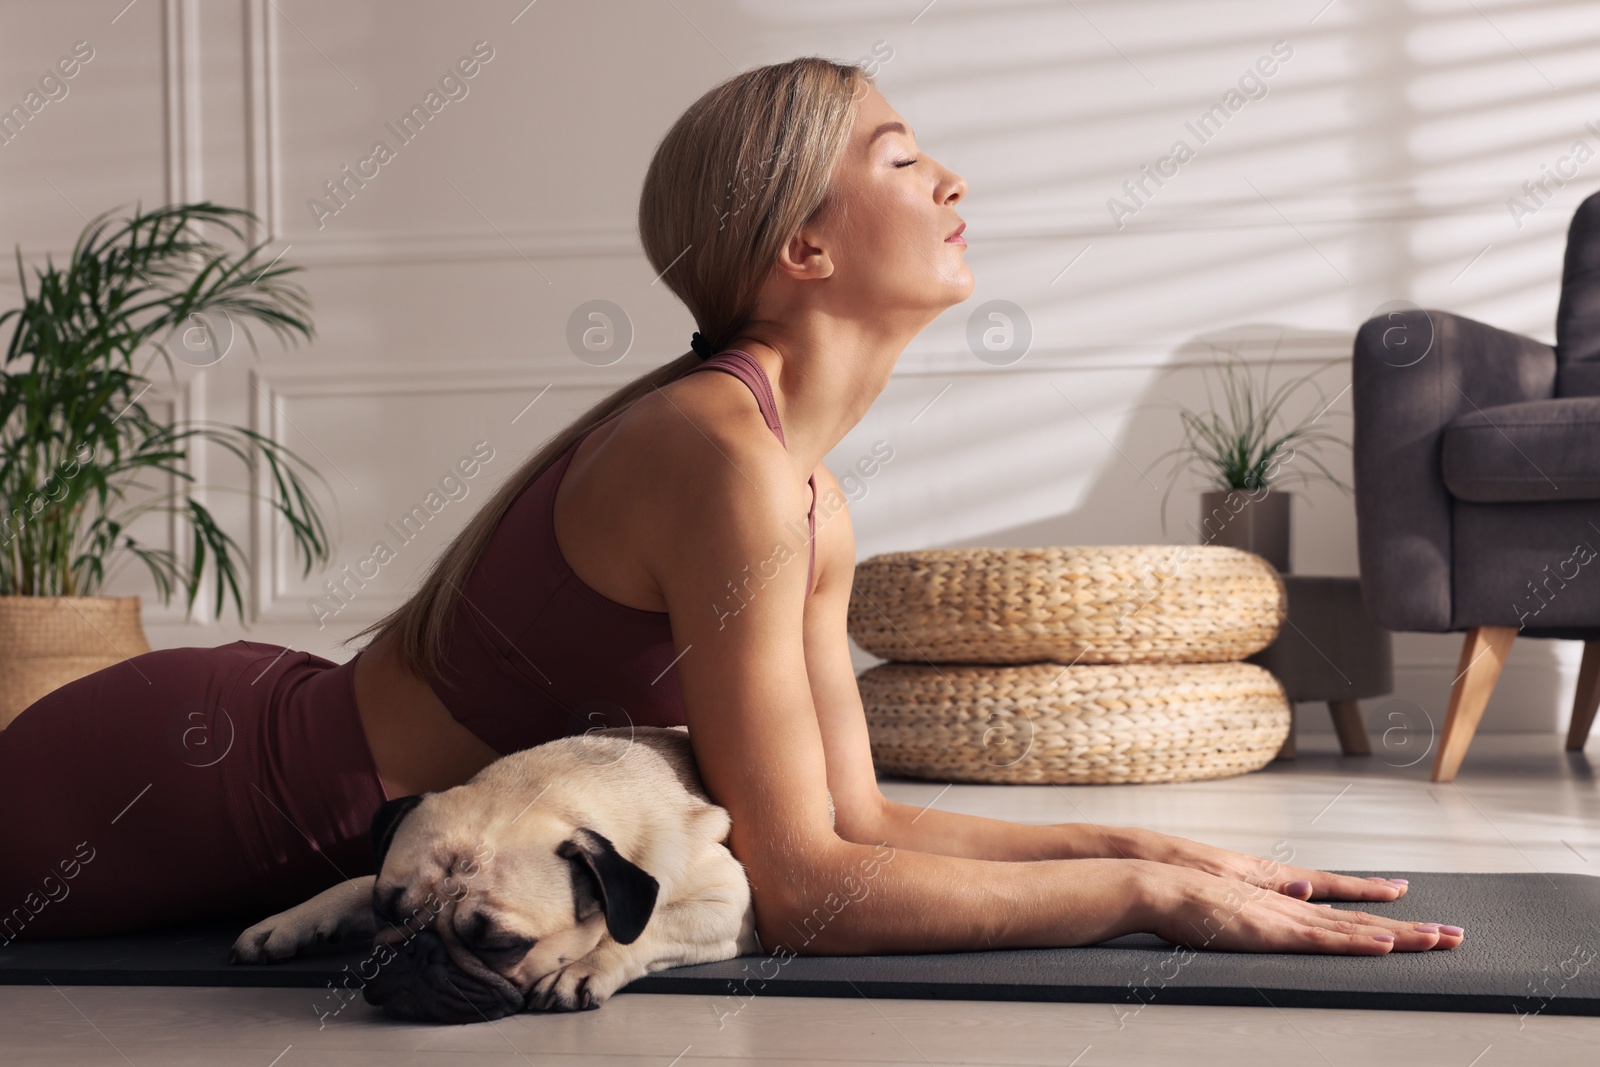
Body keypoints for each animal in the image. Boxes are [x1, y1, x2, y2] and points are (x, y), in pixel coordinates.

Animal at [230, 726, 793, 1017]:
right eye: (387, 913)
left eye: (502, 945)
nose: (416, 953)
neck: (548, 790)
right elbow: (351, 883)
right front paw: (285, 923)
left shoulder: (728, 906)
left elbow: (642, 928)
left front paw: (581, 968)